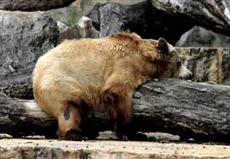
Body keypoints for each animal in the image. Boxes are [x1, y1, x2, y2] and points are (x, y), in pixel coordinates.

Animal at [32, 32, 192, 140]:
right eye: (179, 62)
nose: (190, 74)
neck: (144, 59)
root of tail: (36, 70)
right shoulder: (125, 64)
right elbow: (118, 92)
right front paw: (133, 133)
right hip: (60, 81)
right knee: (70, 108)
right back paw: (75, 133)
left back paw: (90, 131)